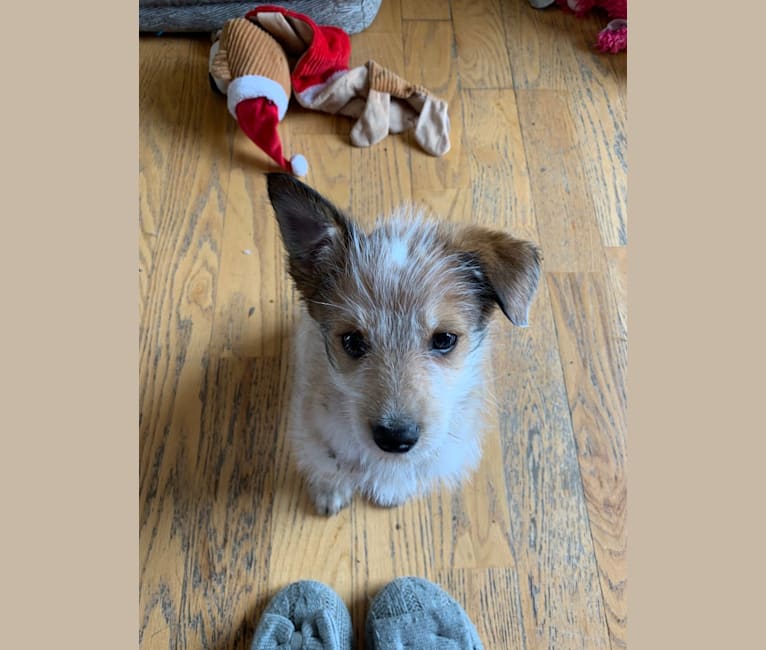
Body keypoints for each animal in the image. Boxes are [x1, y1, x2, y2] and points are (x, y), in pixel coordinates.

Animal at [268, 173, 544, 516]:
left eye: (445, 339)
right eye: (352, 341)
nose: (395, 438)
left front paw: (393, 488)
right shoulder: (314, 429)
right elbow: (327, 463)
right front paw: (330, 490)